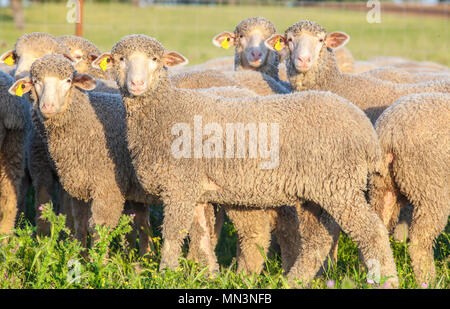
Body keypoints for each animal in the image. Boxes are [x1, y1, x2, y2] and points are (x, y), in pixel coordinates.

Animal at [93, 34, 400, 284]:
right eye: (120, 59)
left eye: (155, 60)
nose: (136, 84)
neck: (166, 111)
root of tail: (363, 127)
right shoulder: (195, 189)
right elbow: (202, 236)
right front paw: (210, 276)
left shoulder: (179, 187)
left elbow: (173, 234)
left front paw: (166, 273)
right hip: (320, 189)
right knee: (319, 239)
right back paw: (293, 281)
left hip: (339, 184)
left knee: (371, 231)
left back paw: (387, 279)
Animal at [368, 92, 448, 286]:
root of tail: (389, 131)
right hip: (431, 188)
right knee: (419, 241)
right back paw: (430, 281)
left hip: (382, 186)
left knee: (378, 229)